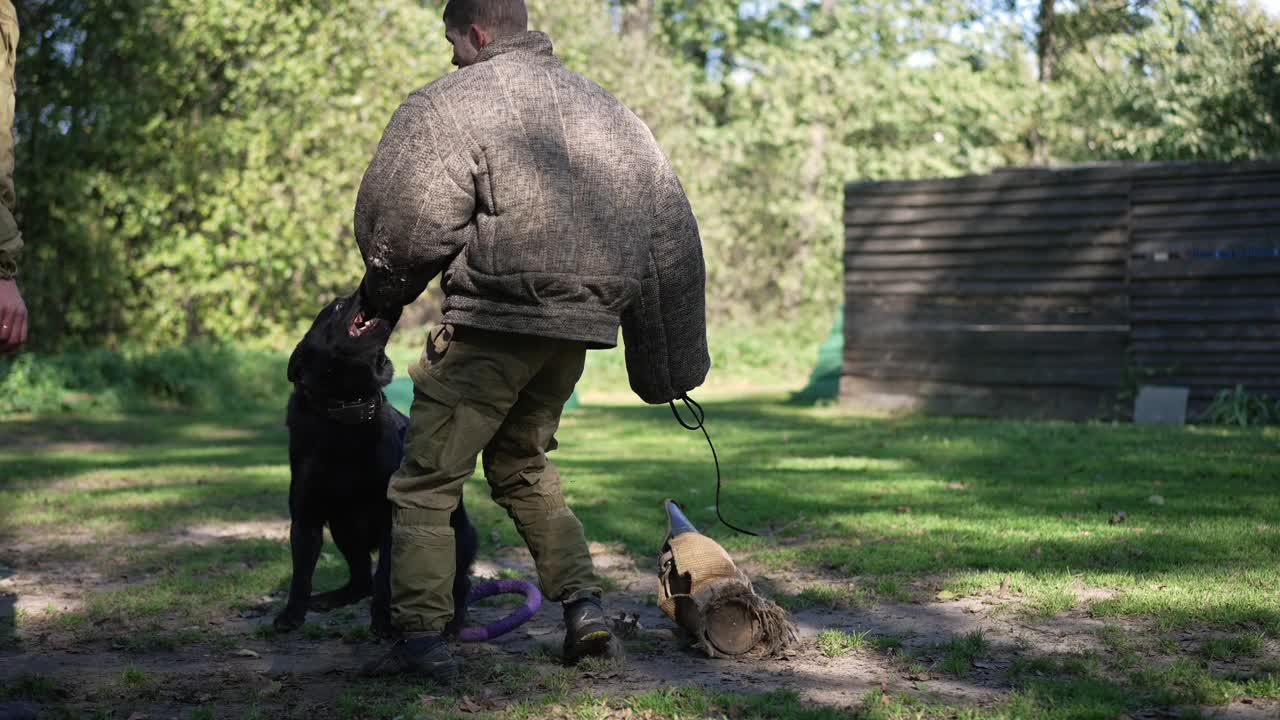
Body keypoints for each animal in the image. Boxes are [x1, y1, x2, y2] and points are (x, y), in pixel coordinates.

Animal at [276, 288, 481, 635]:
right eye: (338, 307)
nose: (363, 289)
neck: (347, 412)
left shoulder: (394, 519)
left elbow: (387, 578)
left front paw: (384, 621)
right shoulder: (307, 516)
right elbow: (301, 575)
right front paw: (291, 615)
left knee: (458, 585)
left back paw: (453, 622)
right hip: (344, 527)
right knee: (361, 580)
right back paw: (333, 598)